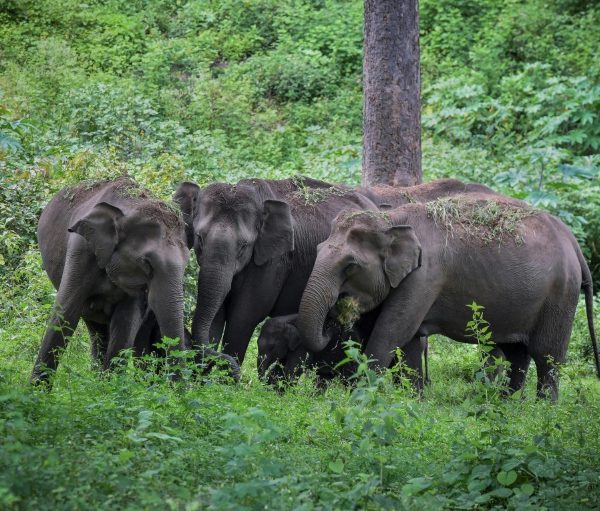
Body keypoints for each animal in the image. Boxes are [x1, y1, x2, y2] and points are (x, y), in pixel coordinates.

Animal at [31, 178, 237, 386]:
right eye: (146, 262)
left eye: (187, 262)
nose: (182, 390)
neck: (130, 206)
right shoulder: (81, 249)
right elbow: (66, 311)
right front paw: (36, 390)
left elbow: (126, 321)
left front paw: (109, 387)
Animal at [296, 196, 600, 400]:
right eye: (318, 249)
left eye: (350, 265)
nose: (333, 321)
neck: (391, 220)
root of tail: (572, 241)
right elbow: (409, 344)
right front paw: (412, 401)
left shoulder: (425, 277)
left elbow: (391, 334)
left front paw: (361, 398)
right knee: (517, 353)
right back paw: (508, 405)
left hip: (560, 296)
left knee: (547, 357)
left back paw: (544, 409)